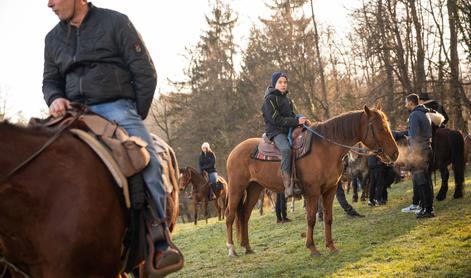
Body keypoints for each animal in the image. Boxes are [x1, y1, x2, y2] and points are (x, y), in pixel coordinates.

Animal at [225, 106, 398, 256]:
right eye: (380, 128)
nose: (395, 153)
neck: (325, 148)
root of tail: (233, 152)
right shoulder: (312, 192)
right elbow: (311, 219)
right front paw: (312, 248)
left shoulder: (330, 189)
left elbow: (328, 218)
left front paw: (331, 246)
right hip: (236, 188)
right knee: (230, 215)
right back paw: (232, 250)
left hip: (254, 188)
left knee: (245, 215)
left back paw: (247, 247)